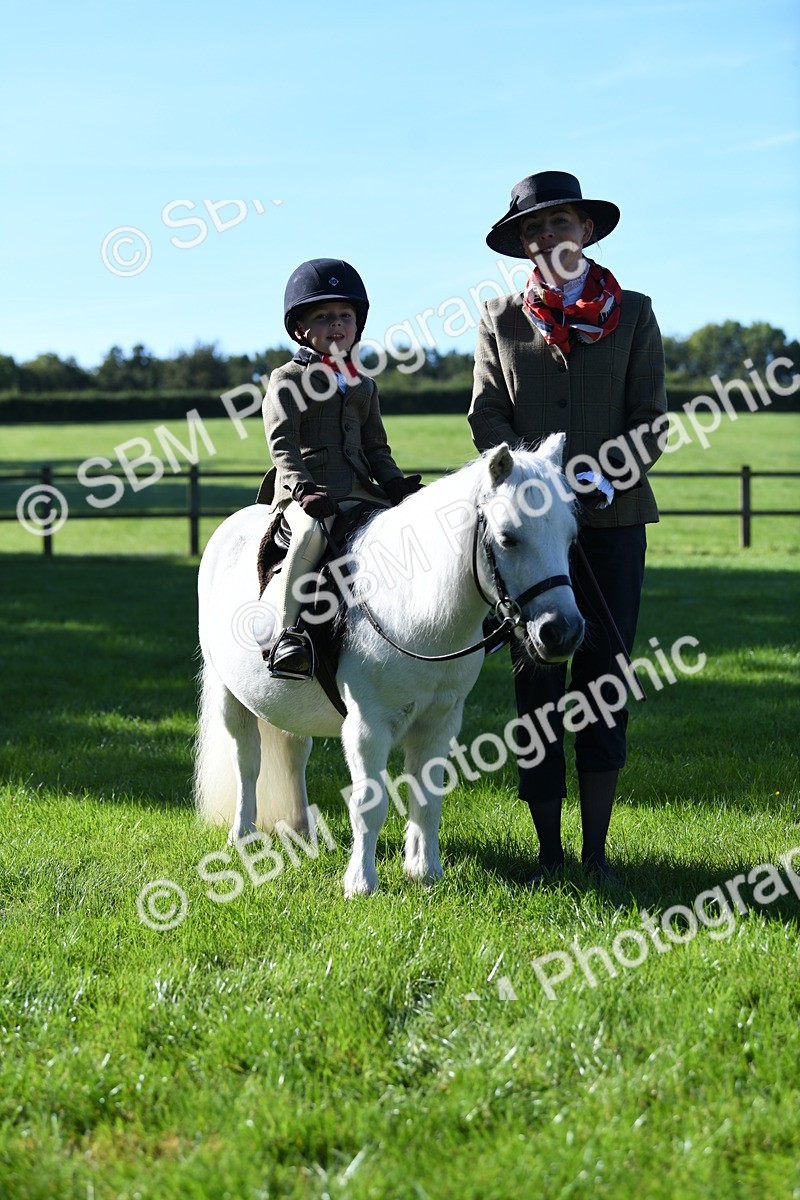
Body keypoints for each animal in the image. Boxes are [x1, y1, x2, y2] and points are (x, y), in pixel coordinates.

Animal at [194, 433, 584, 896]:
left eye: (570, 538)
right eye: (508, 538)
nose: (563, 631)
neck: (413, 607)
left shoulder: (439, 723)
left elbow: (428, 798)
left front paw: (425, 872)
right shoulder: (368, 726)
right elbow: (370, 802)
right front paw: (361, 883)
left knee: (293, 754)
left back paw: (303, 830)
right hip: (228, 694)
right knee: (247, 761)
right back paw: (243, 834)